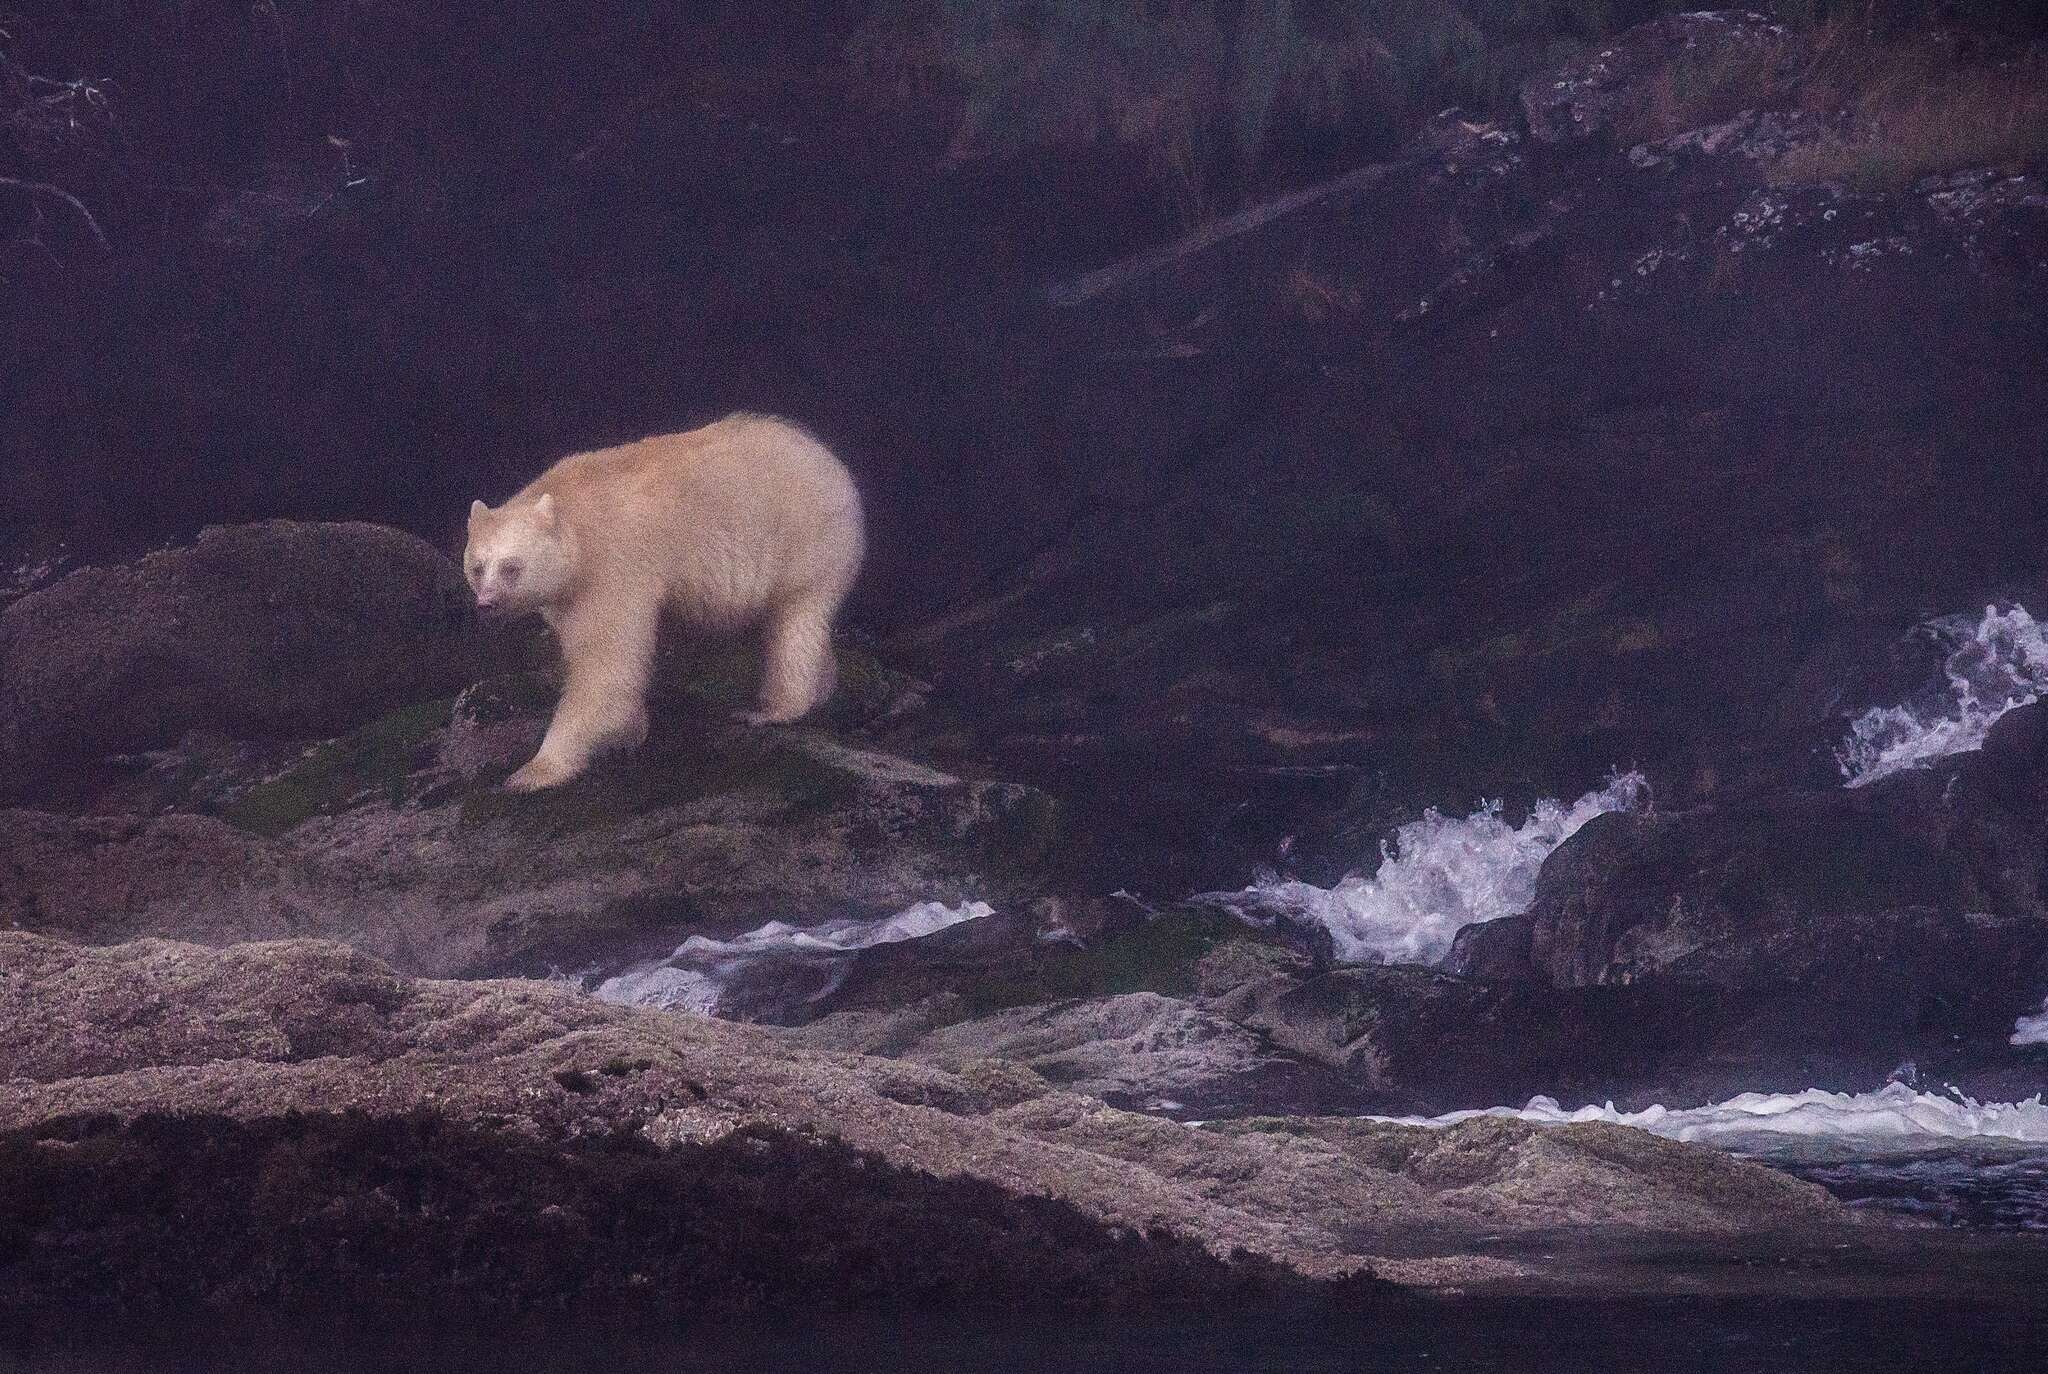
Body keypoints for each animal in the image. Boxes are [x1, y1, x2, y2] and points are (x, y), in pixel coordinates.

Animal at [464, 413, 864, 790]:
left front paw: (532, 771)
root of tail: (834, 466)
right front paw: (631, 731)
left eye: (511, 567)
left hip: (804, 541)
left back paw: (772, 709)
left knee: (795, 623)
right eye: (477, 567)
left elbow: (606, 665)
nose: (486, 605)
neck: (573, 518)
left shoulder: (613, 566)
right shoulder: (569, 592)